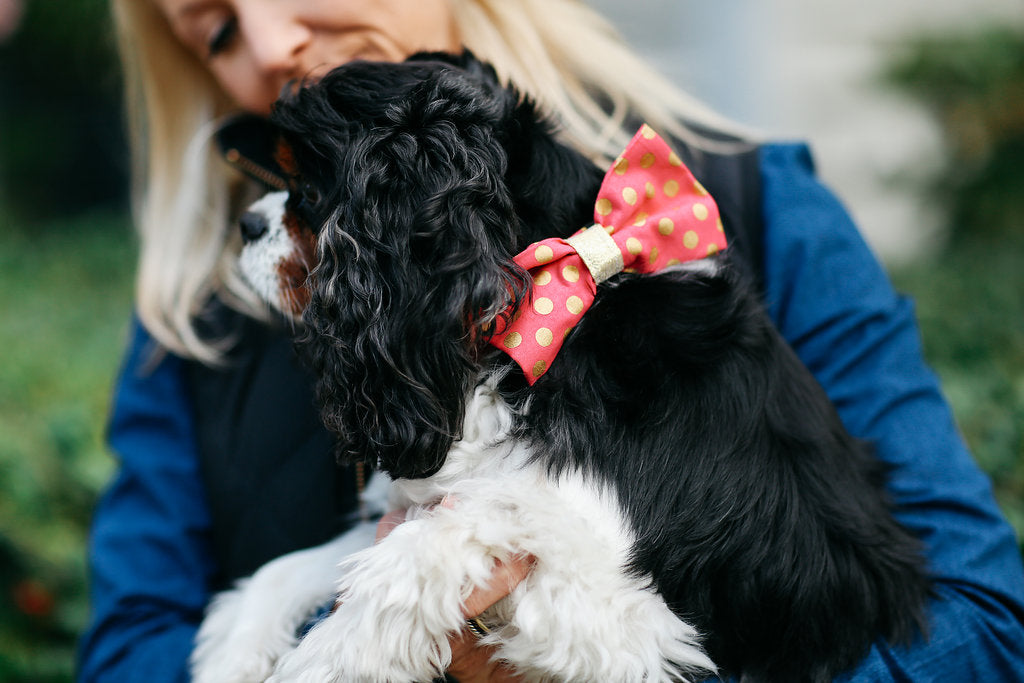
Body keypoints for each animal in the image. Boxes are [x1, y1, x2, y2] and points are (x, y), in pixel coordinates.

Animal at [193, 53, 937, 683]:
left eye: (309, 191)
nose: (247, 226)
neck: (550, 312)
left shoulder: (623, 617)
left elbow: (429, 545)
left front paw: (321, 660)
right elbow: (295, 566)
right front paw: (235, 648)